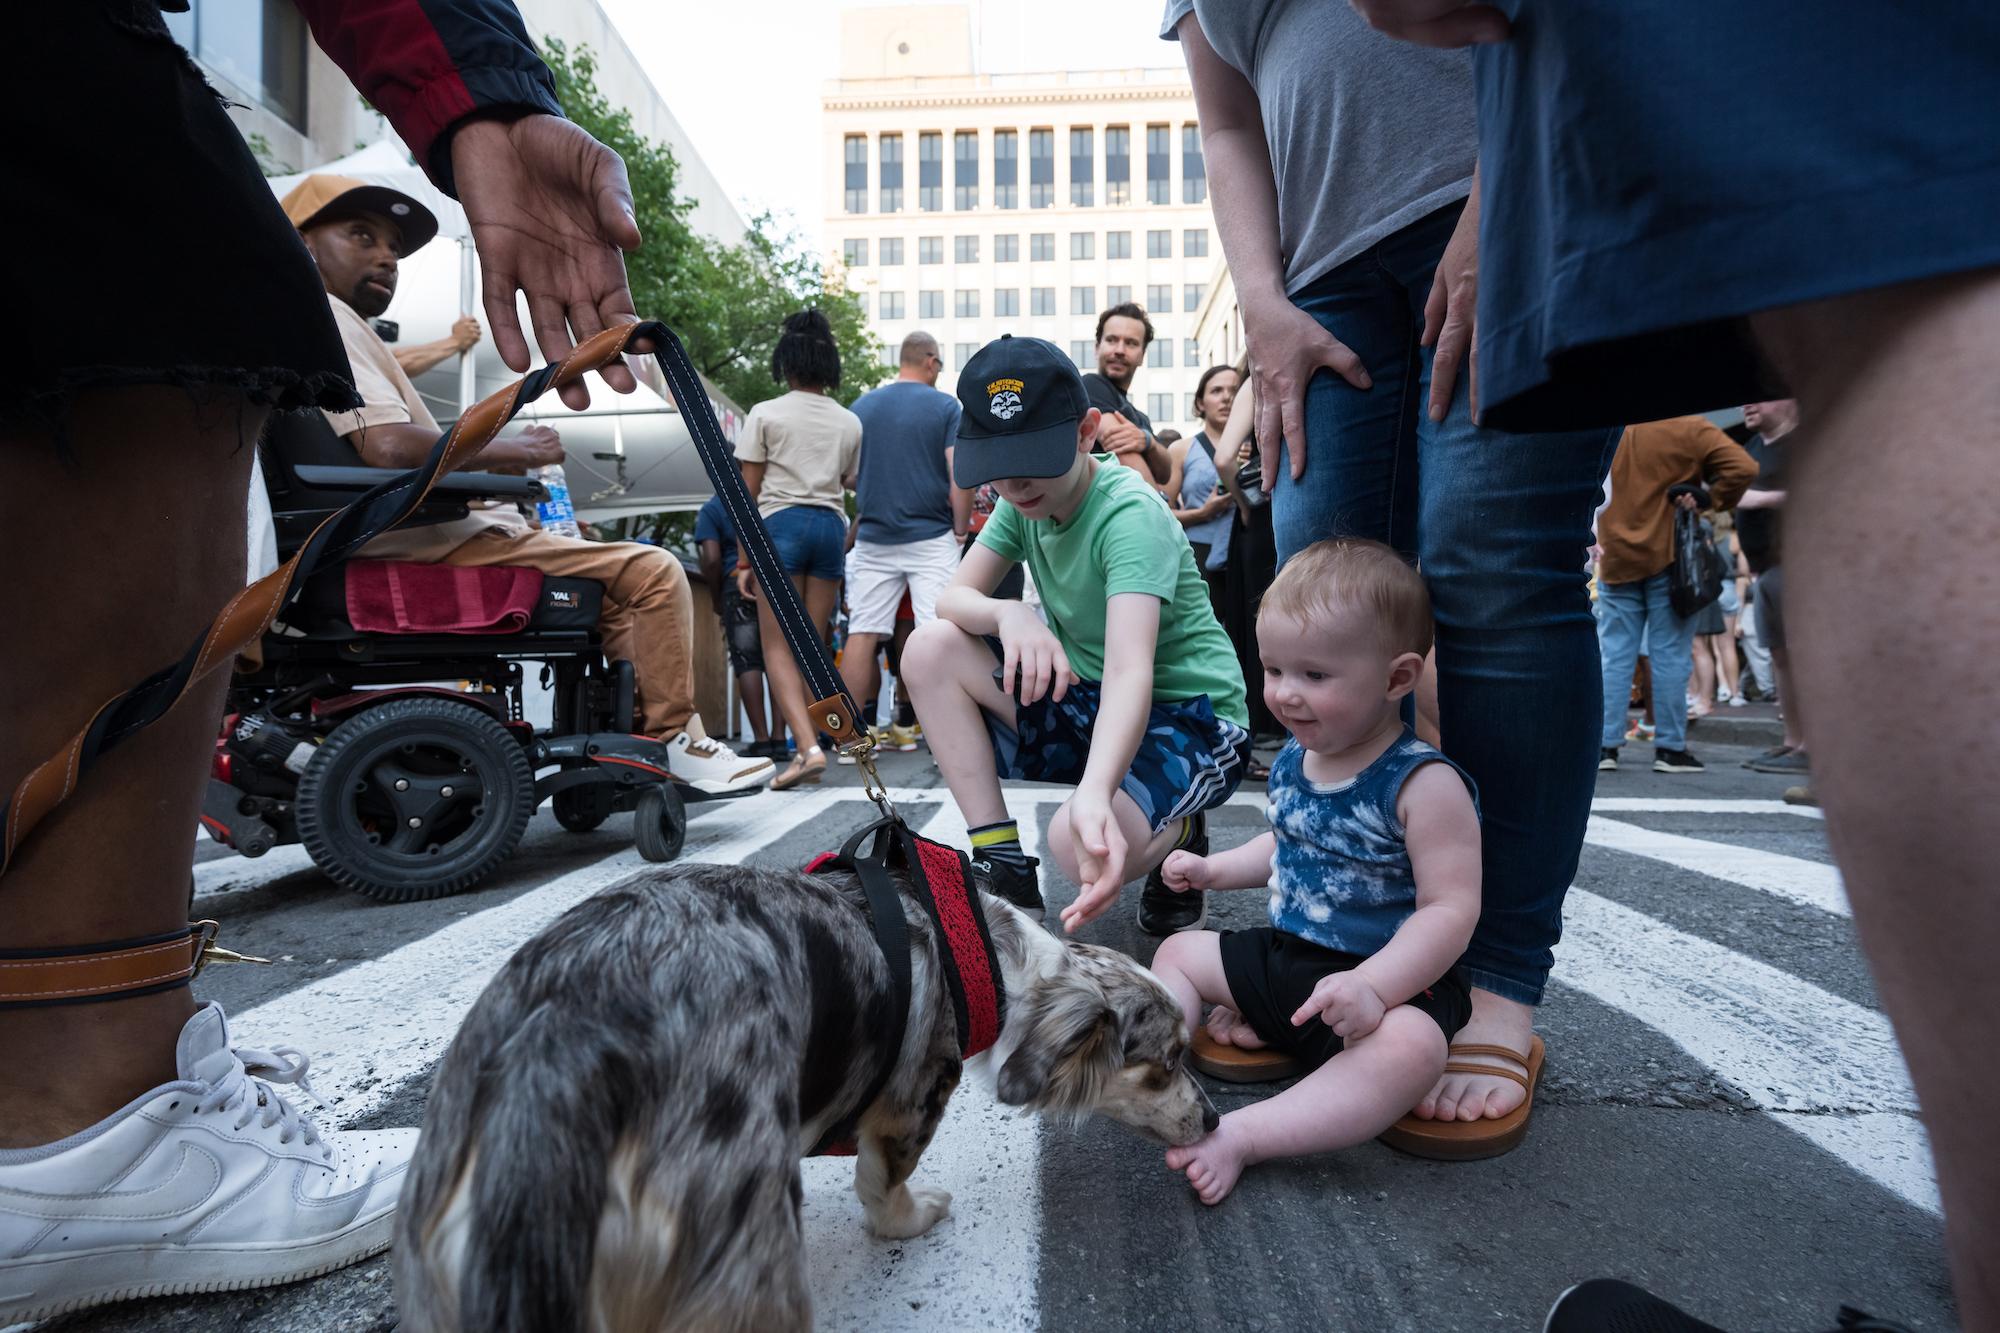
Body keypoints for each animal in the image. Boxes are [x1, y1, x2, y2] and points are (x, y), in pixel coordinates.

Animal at [396, 856, 1208, 1320]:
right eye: (1167, 1062)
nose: (1210, 1121)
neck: (1001, 963)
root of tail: (558, 1052)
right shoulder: (912, 1102)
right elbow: (883, 1186)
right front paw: (911, 1218)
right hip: (751, 1245)